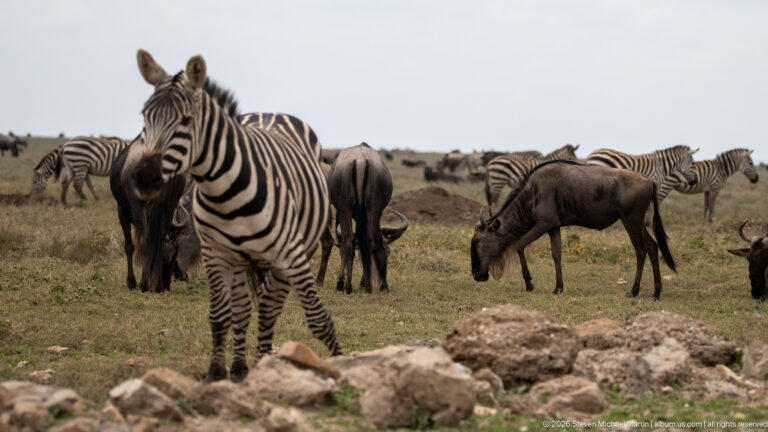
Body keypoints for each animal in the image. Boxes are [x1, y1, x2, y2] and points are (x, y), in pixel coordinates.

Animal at [134, 49, 341, 382]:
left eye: (186, 120)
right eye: (145, 116)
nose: (142, 176)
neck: (225, 190)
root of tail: (271, 112)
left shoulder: (289, 254)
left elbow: (304, 315)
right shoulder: (217, 254)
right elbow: (223, 314)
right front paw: (219, 372)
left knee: (270, 304)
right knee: (246, 307)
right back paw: (243, 365)